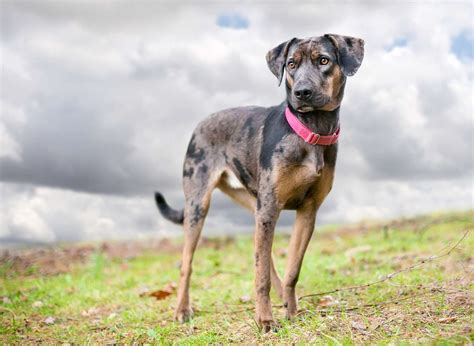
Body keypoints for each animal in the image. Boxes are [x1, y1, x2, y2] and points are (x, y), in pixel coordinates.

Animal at [154, 33, 364, 332]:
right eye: (291, 64)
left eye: (324, 60)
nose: (302, 92)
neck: (310, 129)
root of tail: (200, 123)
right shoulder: (270, 207)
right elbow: (260, 274)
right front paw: (264, 319)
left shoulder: (307, 211)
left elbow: (292, 270)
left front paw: (292, 311)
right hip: (199, 204)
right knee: (187, 264)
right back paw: (183, 310)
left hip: (253, 203)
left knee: (266, 259)